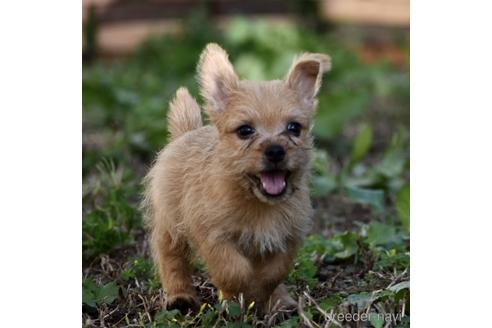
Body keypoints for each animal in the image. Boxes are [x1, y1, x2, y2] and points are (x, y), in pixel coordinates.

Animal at [144, 43, 332, 312]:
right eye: (245, 130)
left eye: (294, 128)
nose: (276, 150)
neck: (258, 204)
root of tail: (186, 132)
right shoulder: (214, 237)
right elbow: (233, 270)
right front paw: (240, 295)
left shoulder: (287, 238)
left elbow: (273, 273)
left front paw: (263, 294)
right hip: (171, 223)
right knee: (171, 257)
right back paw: (181, 296)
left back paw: (281, 302)